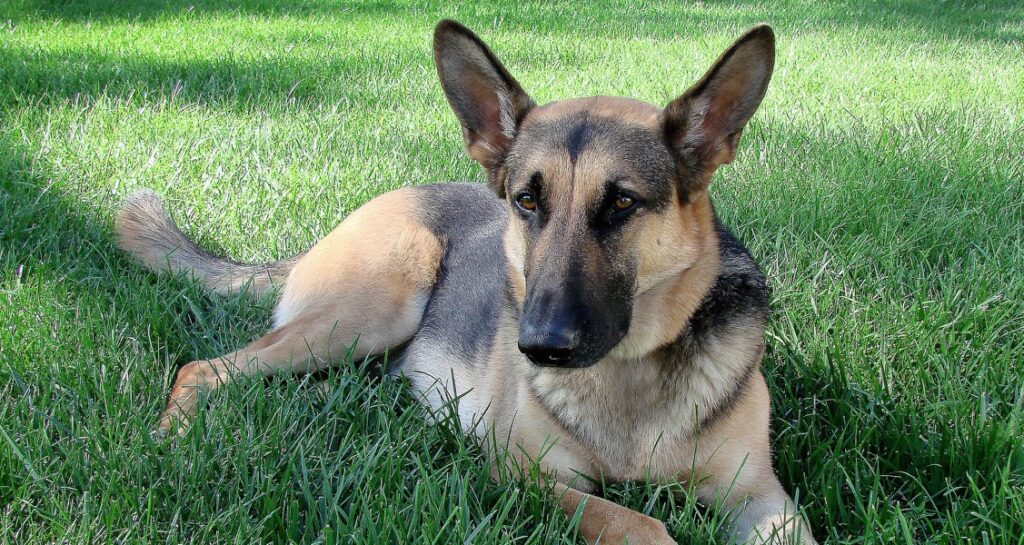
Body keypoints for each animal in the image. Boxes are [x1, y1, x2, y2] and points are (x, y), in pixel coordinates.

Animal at [114, 20, 815, 545]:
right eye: (527, 200)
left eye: (621, 203)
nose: (539, 346)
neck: (630, 372)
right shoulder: (526, 473)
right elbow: (640, 524)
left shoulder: (760, 495)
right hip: (366, 314)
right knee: (205, 368)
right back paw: (171, 439)